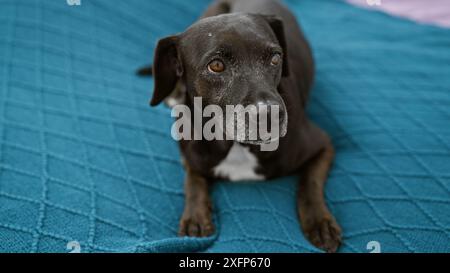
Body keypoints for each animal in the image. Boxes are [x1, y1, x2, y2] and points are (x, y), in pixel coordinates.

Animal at [138, 0, 342, 251]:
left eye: (276, 58)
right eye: (216, 65)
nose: (268, 115)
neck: (237, 146)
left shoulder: (323, 144)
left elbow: (309, 183)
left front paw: (320, 222)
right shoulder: (189, 154)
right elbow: (193, 180)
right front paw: (195, 215)